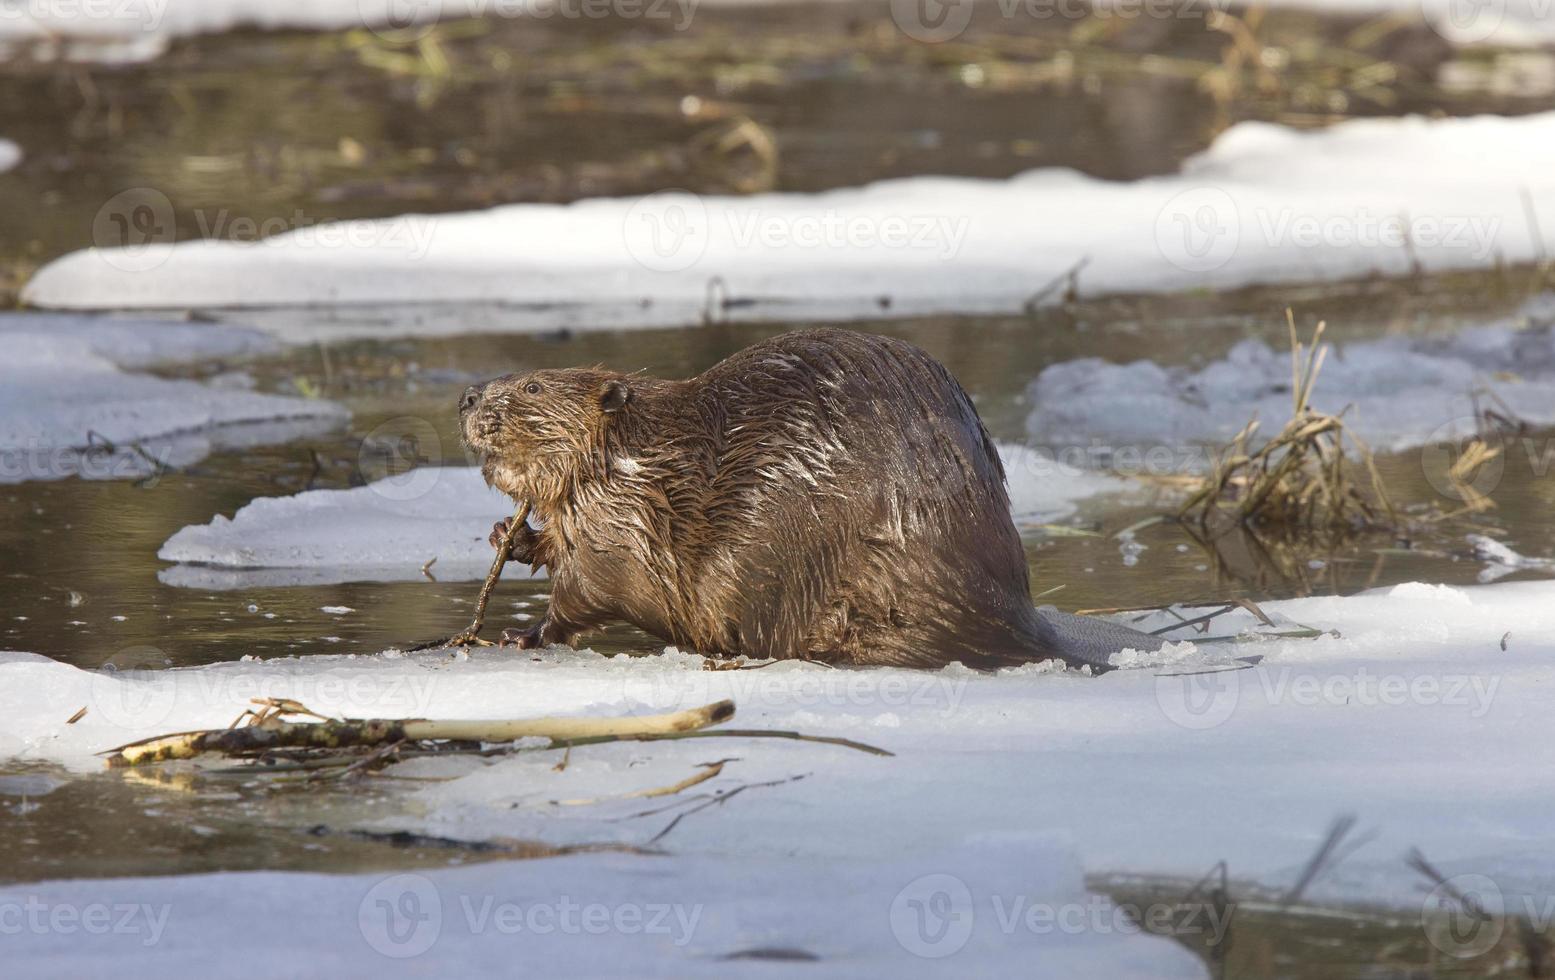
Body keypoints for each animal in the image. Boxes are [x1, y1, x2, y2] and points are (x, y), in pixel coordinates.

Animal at [454, 329, 1163, 675]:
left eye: (534, 385)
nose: (465, 396)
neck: (641, 452)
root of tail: (1021, 617)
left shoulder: (622, 520)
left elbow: (591, 588)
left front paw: (521, 633)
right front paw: (508, 534)